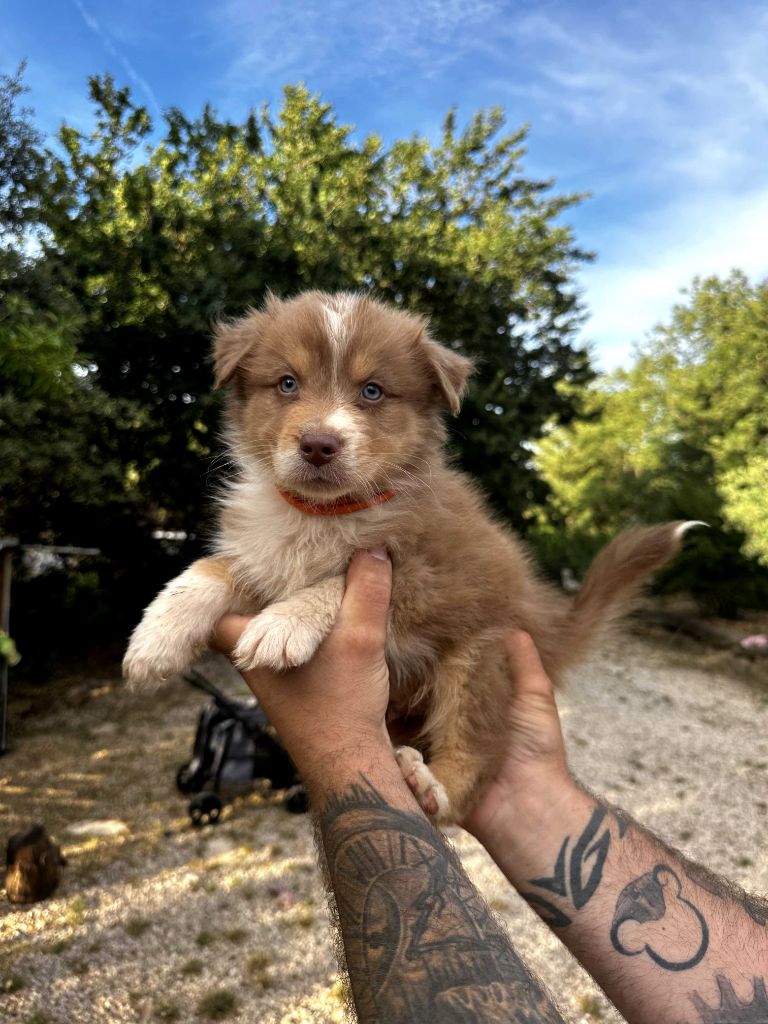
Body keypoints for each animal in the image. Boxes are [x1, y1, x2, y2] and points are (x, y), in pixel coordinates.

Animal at [124, 290, 696, 822]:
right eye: (287, 383)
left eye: (372, 391)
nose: (318, 445)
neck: (323, 516)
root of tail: (547, 618)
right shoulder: (265, 556)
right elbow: (212, 569)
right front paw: (155, 639)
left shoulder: (428, 579)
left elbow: (341, 578)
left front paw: (284, 623)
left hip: (482, 657)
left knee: (477, 758)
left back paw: (430, 787)